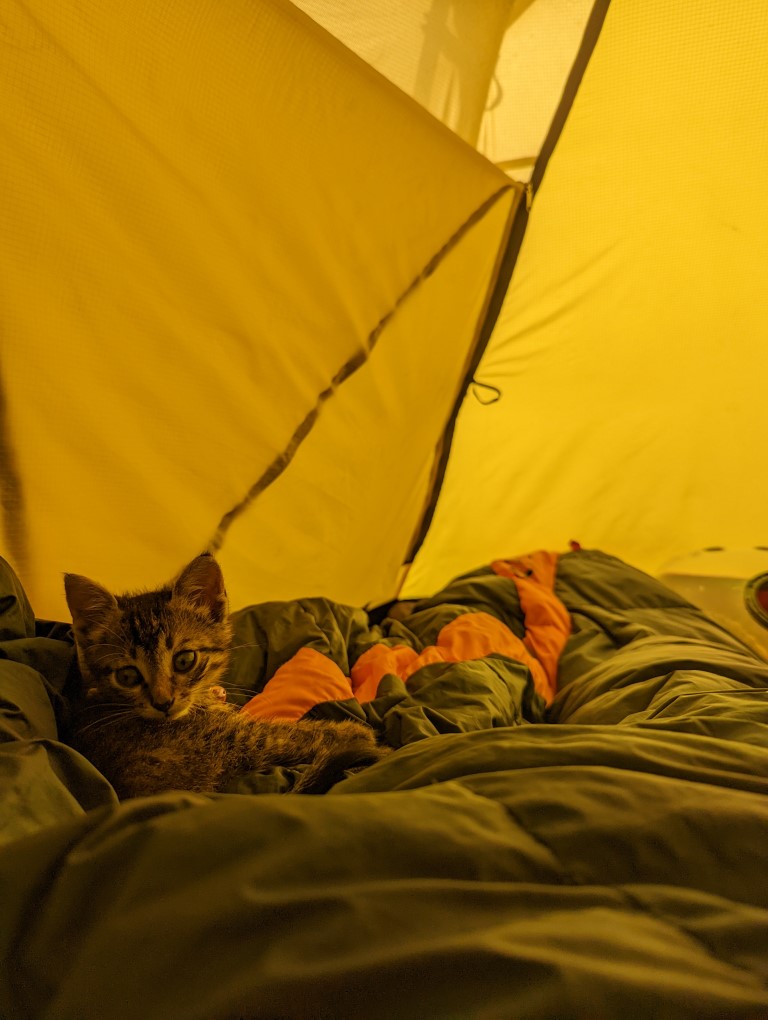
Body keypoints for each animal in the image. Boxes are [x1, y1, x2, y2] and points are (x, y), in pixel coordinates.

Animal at [64, 553, 385, 798]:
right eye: (128, 676)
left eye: (184, 660)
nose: (163, 703)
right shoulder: (238, 739)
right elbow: (291, 734)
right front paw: (355, 732)